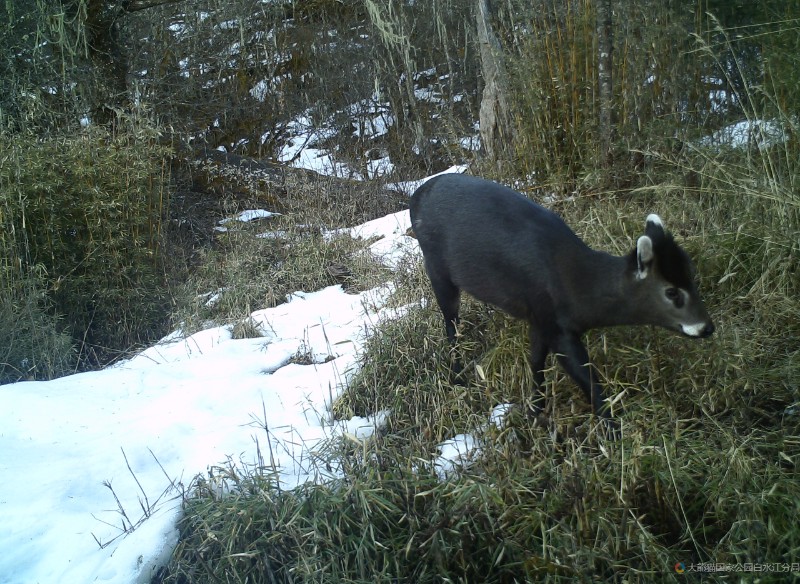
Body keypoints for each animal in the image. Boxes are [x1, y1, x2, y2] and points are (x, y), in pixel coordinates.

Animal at [410, 172, 716, 428]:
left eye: (691, 274)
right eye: (672, 292)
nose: (707, 327)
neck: (578, 290)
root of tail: (415, 196)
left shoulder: (538, 319)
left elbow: (535, 362)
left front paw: (535, 410)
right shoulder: (554, 323)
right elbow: (587, 379)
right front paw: (612, 428)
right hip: (436, 267)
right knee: (451, 324)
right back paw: (458, 377)